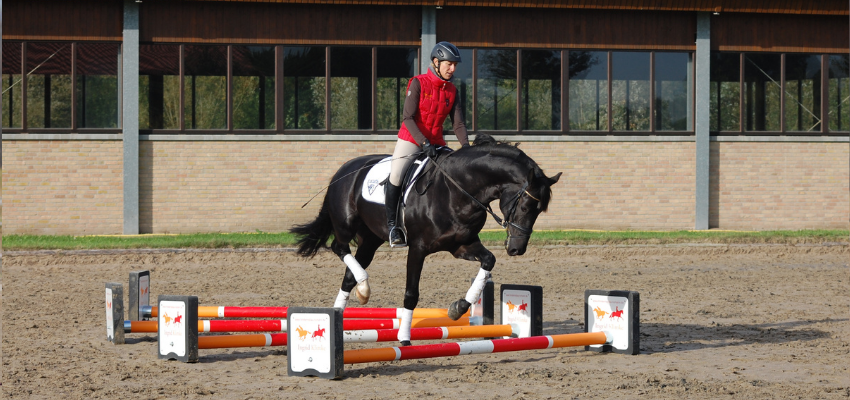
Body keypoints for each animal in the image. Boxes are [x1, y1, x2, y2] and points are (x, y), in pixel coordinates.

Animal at [288, 134, 560, 344]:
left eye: (539, 211)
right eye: (525, 206)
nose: (517, 248)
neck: (457, 190)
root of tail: (343, 169)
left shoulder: (461, 245)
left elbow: (488, 261)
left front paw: (459, 307)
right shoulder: (418, 249)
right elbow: (411, 293)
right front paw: (404, 337)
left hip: (371, 239)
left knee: (349, 275)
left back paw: (351, 301)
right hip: (346, 224)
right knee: (338, 246)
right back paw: (362, 287)